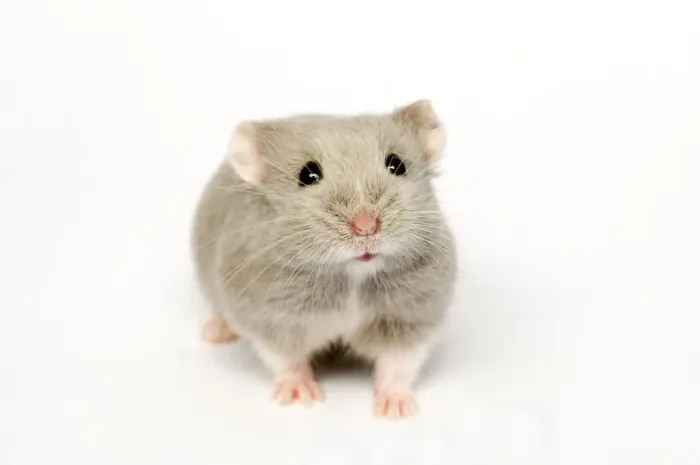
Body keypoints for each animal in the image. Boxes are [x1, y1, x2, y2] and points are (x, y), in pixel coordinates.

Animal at [191, 100, 456, 419]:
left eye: (397, 165)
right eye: (307, 175)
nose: (366, 227)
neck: (352, 274)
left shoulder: (411, 316)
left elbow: (398, 363)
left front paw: (396, 410)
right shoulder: (272, 318)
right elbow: (287, 359)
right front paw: (300, 397)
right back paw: (215, 332)